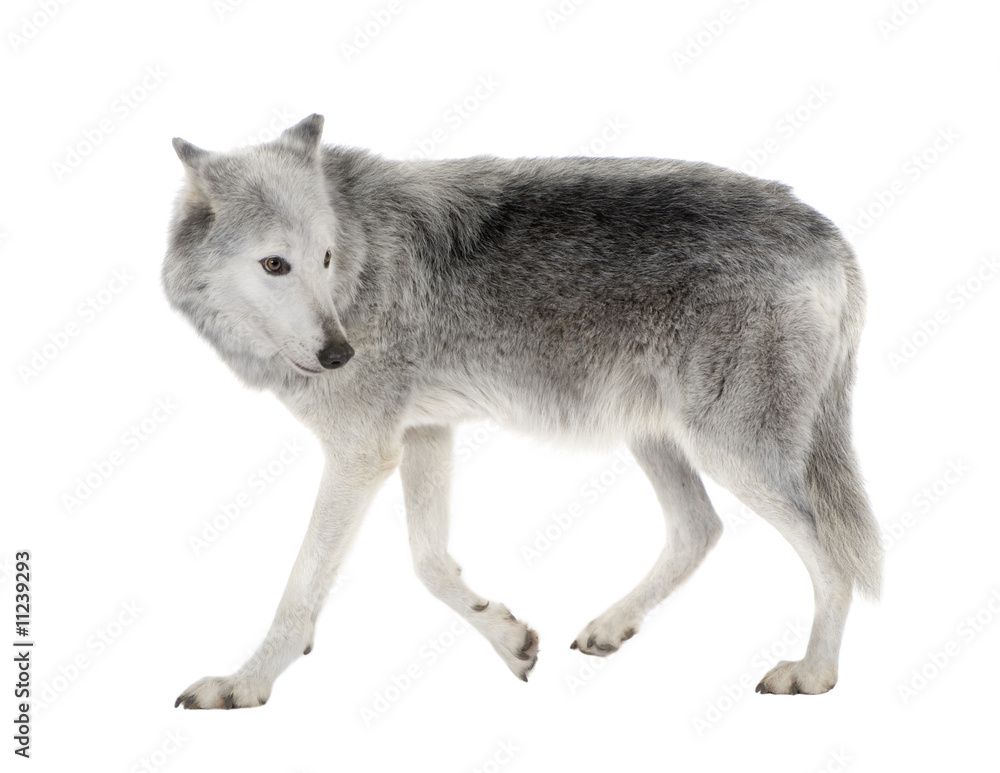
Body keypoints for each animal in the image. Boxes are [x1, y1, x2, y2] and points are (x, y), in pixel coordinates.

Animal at [164, 114, 881, 709]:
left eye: (324, 258)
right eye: (275, 264)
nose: (341, 352)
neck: (360, 262)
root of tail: (830, 233)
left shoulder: (362, 452)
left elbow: (301, 587)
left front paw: (245, 683)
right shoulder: (423, 434)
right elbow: (429, 562)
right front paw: (508, 639)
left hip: (730, 449)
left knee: (832, 552)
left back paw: (814, 673)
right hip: (654, 434)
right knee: (698, 528)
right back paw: (611, 626)